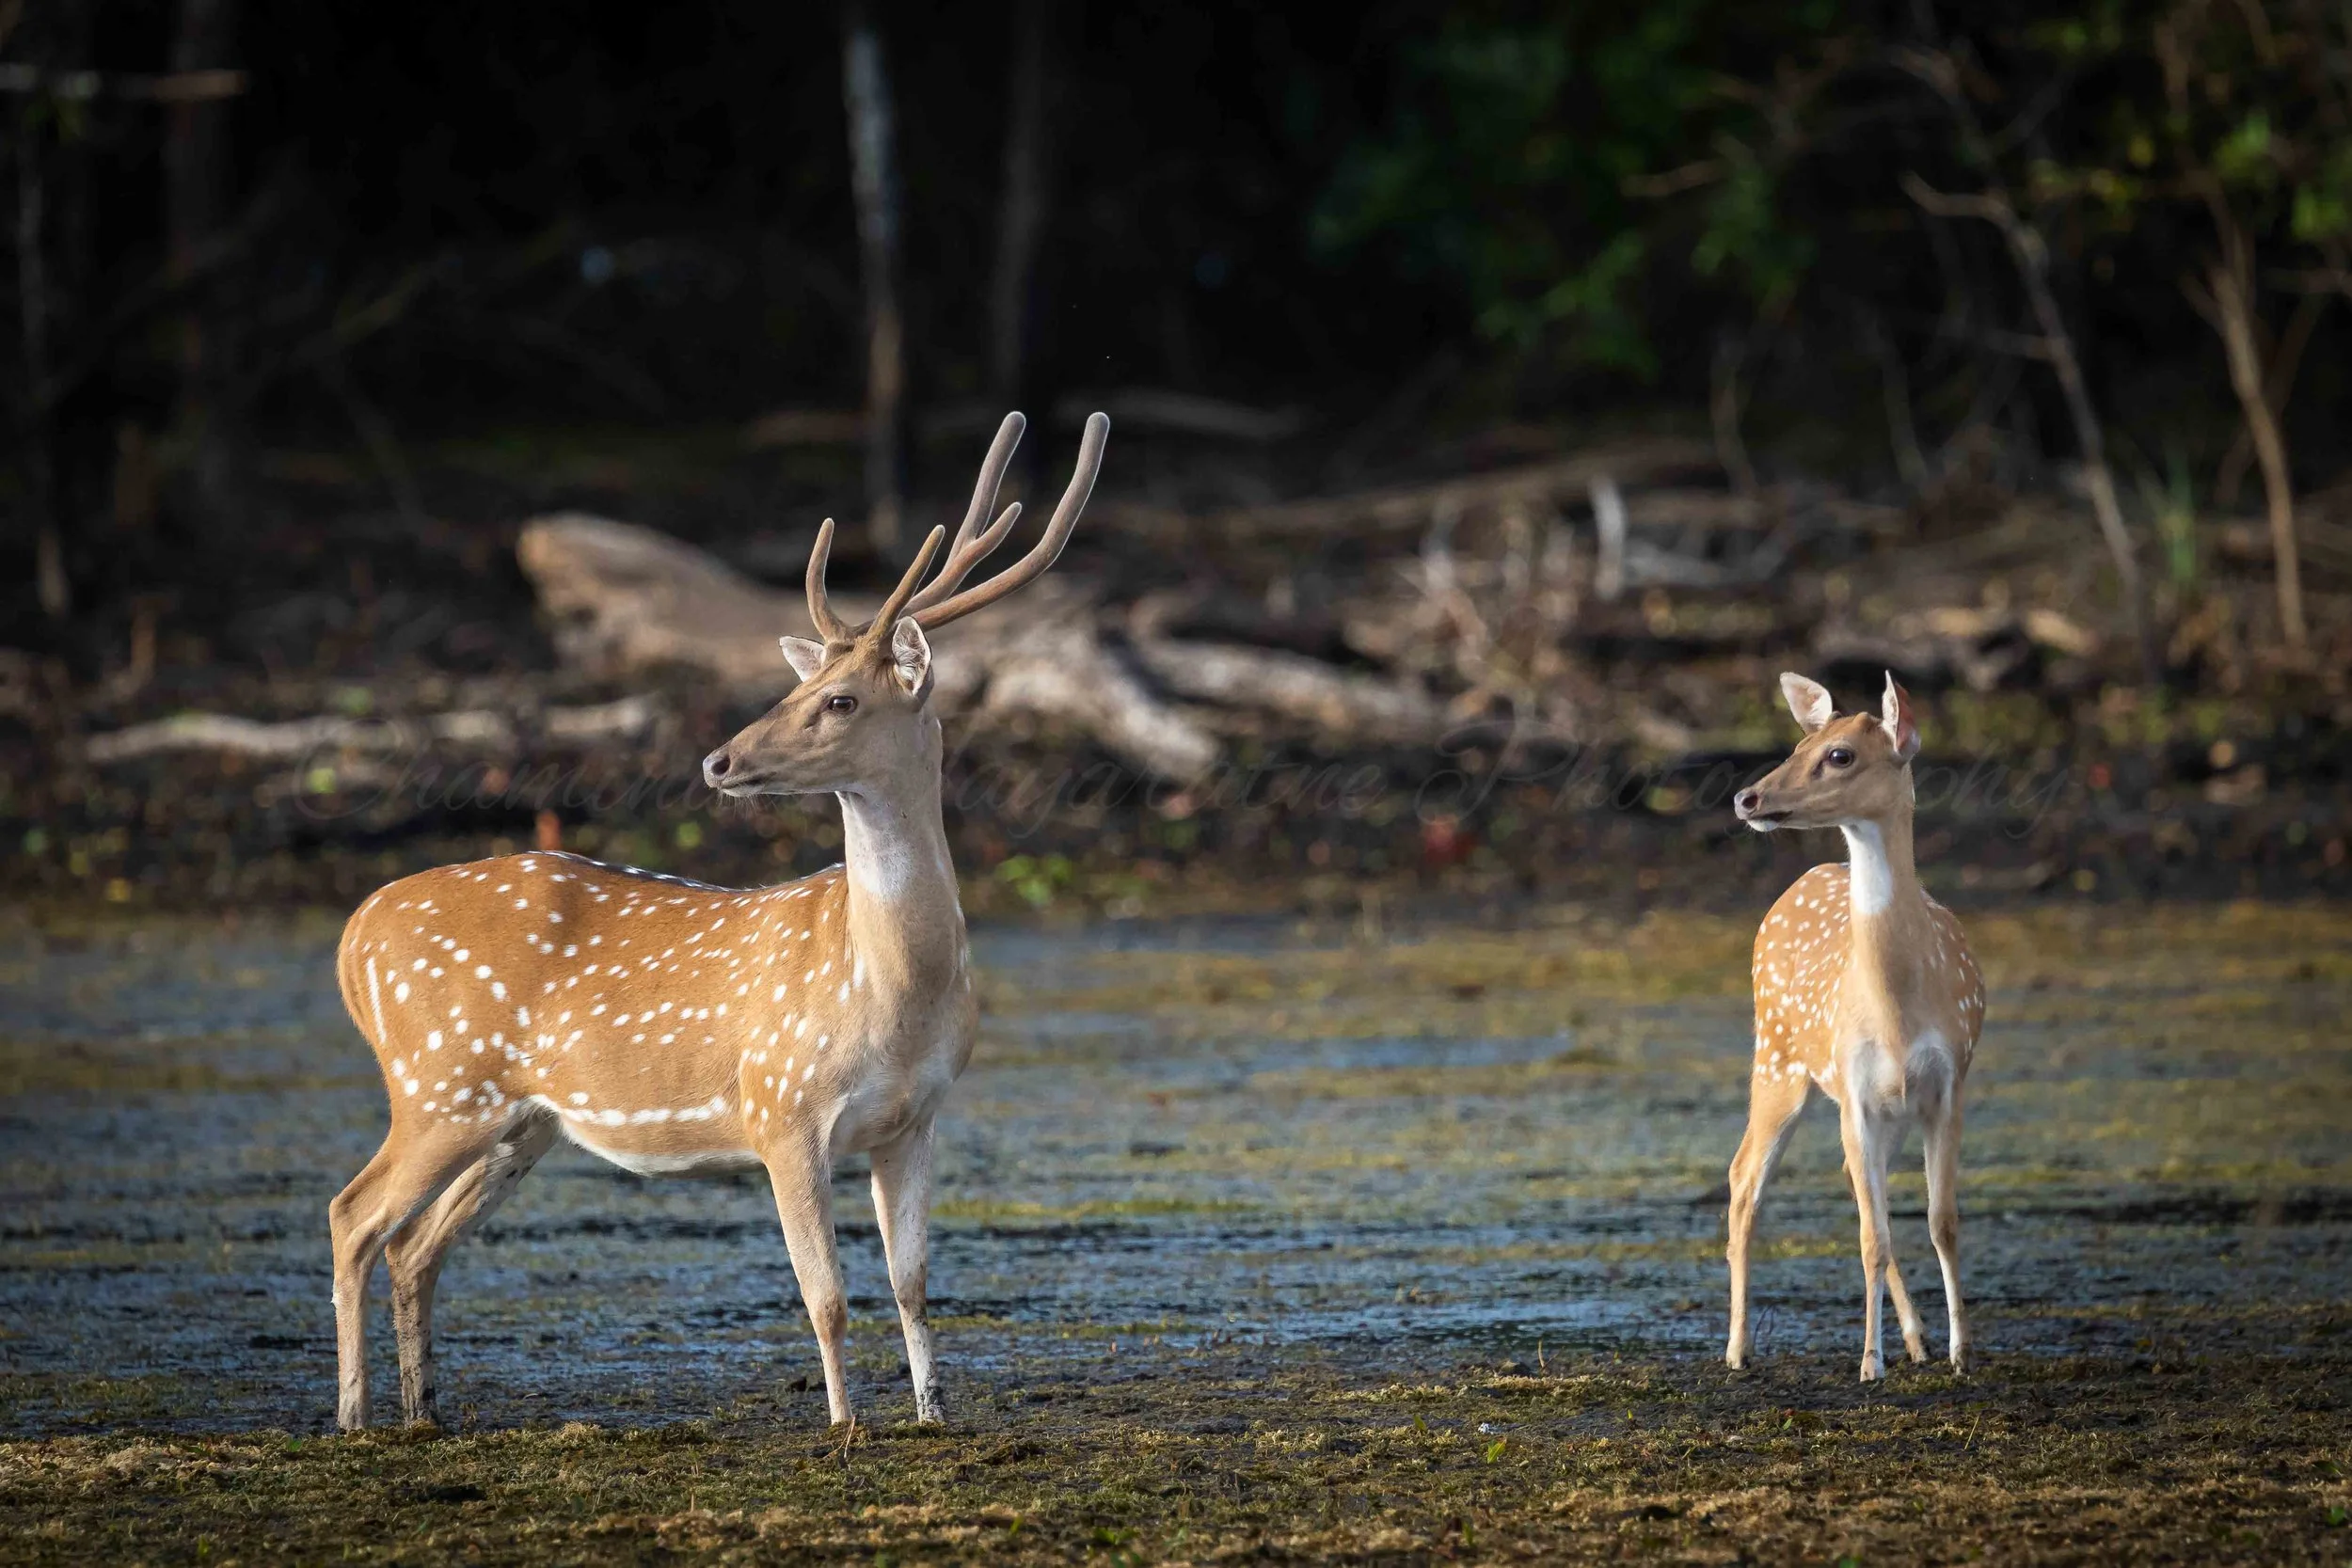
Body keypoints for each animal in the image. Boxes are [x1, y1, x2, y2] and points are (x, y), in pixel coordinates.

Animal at [328, 409, 1108, 1432]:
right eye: (791, 690)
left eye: (839, 698)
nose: (720, 761)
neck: (894, 991)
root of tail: (354, 935)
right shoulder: (782, 1104)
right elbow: (825, 1293)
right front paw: (844, 1423)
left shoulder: (916, 1118)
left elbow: (912, 1282)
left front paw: (932, 1413)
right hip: (437, 1082)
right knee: (353, 1214)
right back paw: (352, 1418)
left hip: (519, 1118)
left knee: (413, 1243)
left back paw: (425, 1411)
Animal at [1724, 671, 1985, 1382]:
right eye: (1797, 743)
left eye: (1839, 754)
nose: (1747, 796)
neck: (1897, 1011)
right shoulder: (1856, 1087)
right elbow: (1873, 1236)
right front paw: (1870, 1362)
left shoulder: (1947, 1084)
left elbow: (1941, 1220)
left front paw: (1960, 1350)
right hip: (1777, 1057)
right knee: (1743, 1179)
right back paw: (1737, 1348)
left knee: (1847, 1185)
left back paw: (1918, 1337)